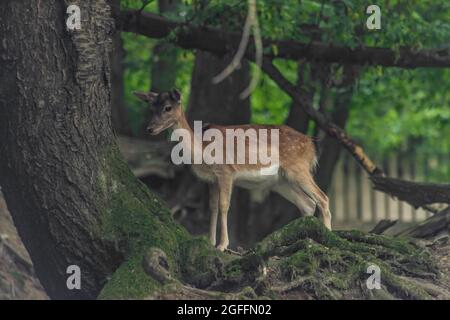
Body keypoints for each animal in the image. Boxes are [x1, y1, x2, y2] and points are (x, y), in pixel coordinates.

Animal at [134, 89, 330, 251]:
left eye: (167, 107)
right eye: (151, 108)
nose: (149, 128)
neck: (202, 149)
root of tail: (312, 144)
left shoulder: (226, 172)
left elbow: (224, 205)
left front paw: (223, 245)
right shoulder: (211, 180)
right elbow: (212, 207)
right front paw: (210, 242)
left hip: (298, 168)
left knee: (323, 198)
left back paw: (327, 238)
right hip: (281, 182)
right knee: (307, 203)